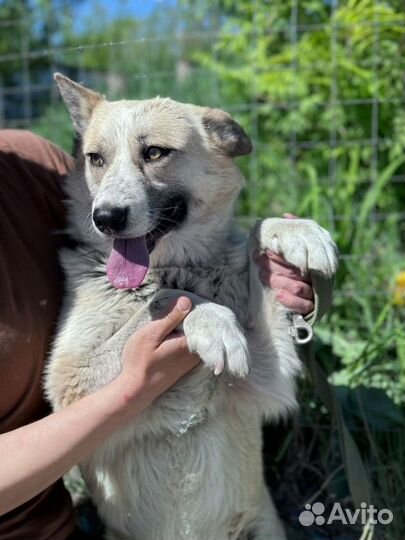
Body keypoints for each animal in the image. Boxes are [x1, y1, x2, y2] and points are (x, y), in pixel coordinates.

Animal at [45, 73, 338, 540]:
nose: (105, 217)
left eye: (154, 152)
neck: (176, 268)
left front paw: (296, 233)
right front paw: (214, 321)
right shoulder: (68, 384)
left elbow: (256, 229)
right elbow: (169, 298)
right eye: (96, 158)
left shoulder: (266, 376)